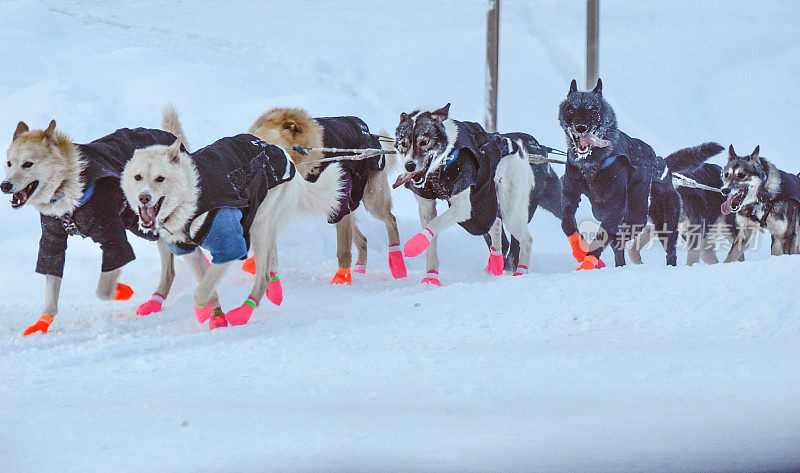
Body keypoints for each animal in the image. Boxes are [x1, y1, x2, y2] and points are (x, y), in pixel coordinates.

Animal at [247, 107, 404, 284]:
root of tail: (370, 134)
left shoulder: (340, 205)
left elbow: (343, 251)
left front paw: (342, 279)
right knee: (363, 239)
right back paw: (360, 269)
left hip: (373, 201)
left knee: (391, 221)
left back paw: (397, 263)